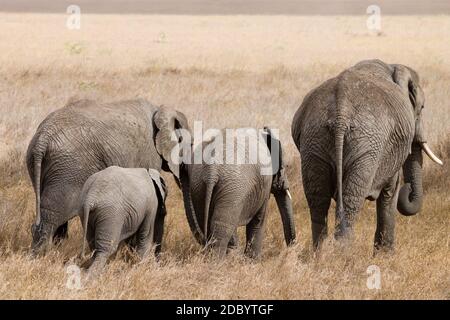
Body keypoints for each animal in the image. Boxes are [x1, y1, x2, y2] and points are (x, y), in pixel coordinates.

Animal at [26, 99, 188, 256]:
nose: (158, 255)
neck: (159, 110)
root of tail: (43, 139)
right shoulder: (150, 155)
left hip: (46, 166)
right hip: (69, 168)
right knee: (52, 215)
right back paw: (42, 255)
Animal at [172, 125, 296, 258]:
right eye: (285, 166)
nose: (291, 248)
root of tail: (212, 171)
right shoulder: (264, 184)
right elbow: (259, 221)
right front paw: (252, 260)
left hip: (199, 185)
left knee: (208, 222)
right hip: (233, 188)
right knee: (222, 227)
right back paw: (218, 261)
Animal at [292, 58, 442, 251]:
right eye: (421, 107)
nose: (408, 189)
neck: (393, 67)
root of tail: (341, 113)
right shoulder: (389, 148)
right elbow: (390, 192)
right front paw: (385, 254)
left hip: (313, 141)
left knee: (318, 200)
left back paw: (320, 253)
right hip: (367, 147)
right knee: (351, 200)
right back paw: (343, 253)